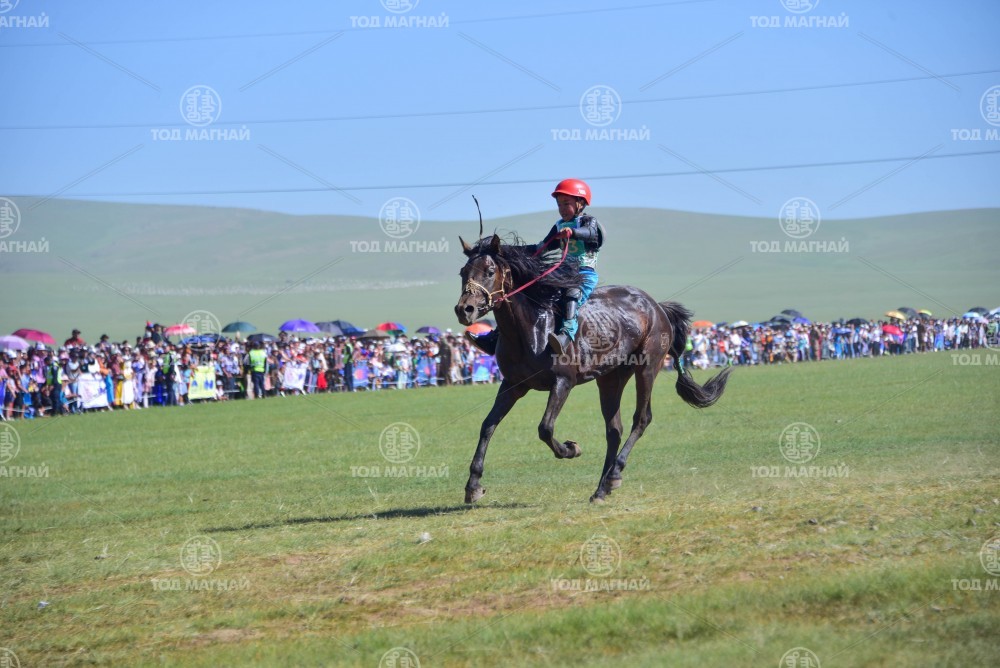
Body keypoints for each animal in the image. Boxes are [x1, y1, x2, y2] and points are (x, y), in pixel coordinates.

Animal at [455, 233, 731, 503]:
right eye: (463, 272)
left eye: (490, 271)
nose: (464, 309)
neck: (532, 329)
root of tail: (657, 306)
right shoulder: (512, 384)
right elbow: (488, 425)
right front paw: (473, 486)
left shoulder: (563, 382)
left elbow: (545, 428)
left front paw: (571, 448)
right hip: (610, 378)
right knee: (614, 429)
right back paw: (601, 489)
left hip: (647, 367)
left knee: (641, 419)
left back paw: (614, 474)